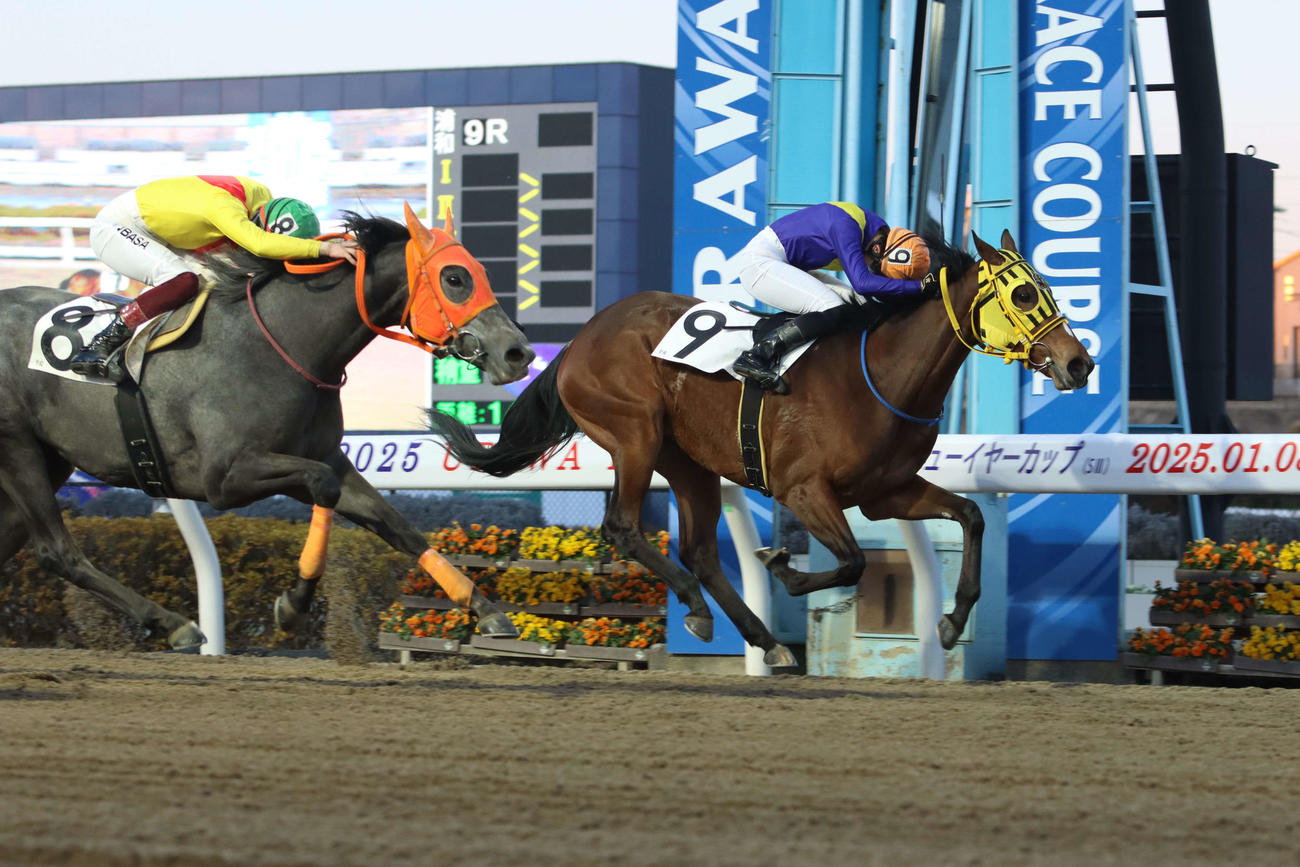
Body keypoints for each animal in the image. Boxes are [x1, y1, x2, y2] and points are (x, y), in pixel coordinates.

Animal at [0, 205, 533, 648]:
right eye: (455, 278)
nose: (518, 353)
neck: (281, 344)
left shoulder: (324, 456)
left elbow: (398, 526)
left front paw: (488, 611)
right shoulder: (225, 478)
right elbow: (324, 489)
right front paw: (293, 607)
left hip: (49, 460)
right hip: (18, 449)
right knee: (57, 551)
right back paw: (174, 625)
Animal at [427, 230, 1094, 667]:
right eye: (1026, 295)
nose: (1079, 363)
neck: (881, 374)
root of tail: (581, 338)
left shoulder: (887, 492)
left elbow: (972, 516)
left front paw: (953, 622)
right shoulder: (805, 489)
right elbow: (852, 561)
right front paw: (782, 568)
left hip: (688, 462)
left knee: (699, 551)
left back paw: (762, 640)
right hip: (636, 435)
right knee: (623, 526)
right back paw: (704, 611)